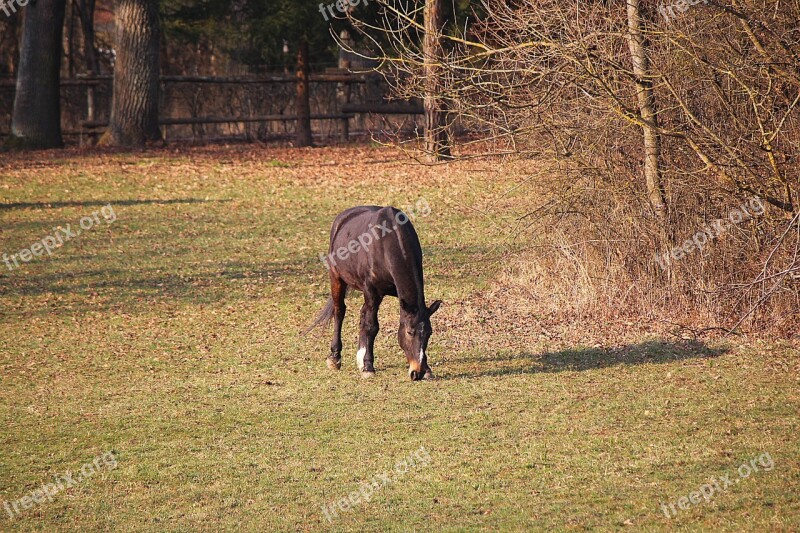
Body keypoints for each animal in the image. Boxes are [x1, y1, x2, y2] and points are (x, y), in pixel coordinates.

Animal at [306, 206, 444, 380]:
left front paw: (427, 370)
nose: (416, 372)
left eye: (429, 333)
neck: (386, 242)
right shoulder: (371, 291)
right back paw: (335, 358)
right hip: (336, 278)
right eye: (409, 332)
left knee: (362, 314)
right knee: (340, 311)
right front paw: (368, 367)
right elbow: (372, 326)